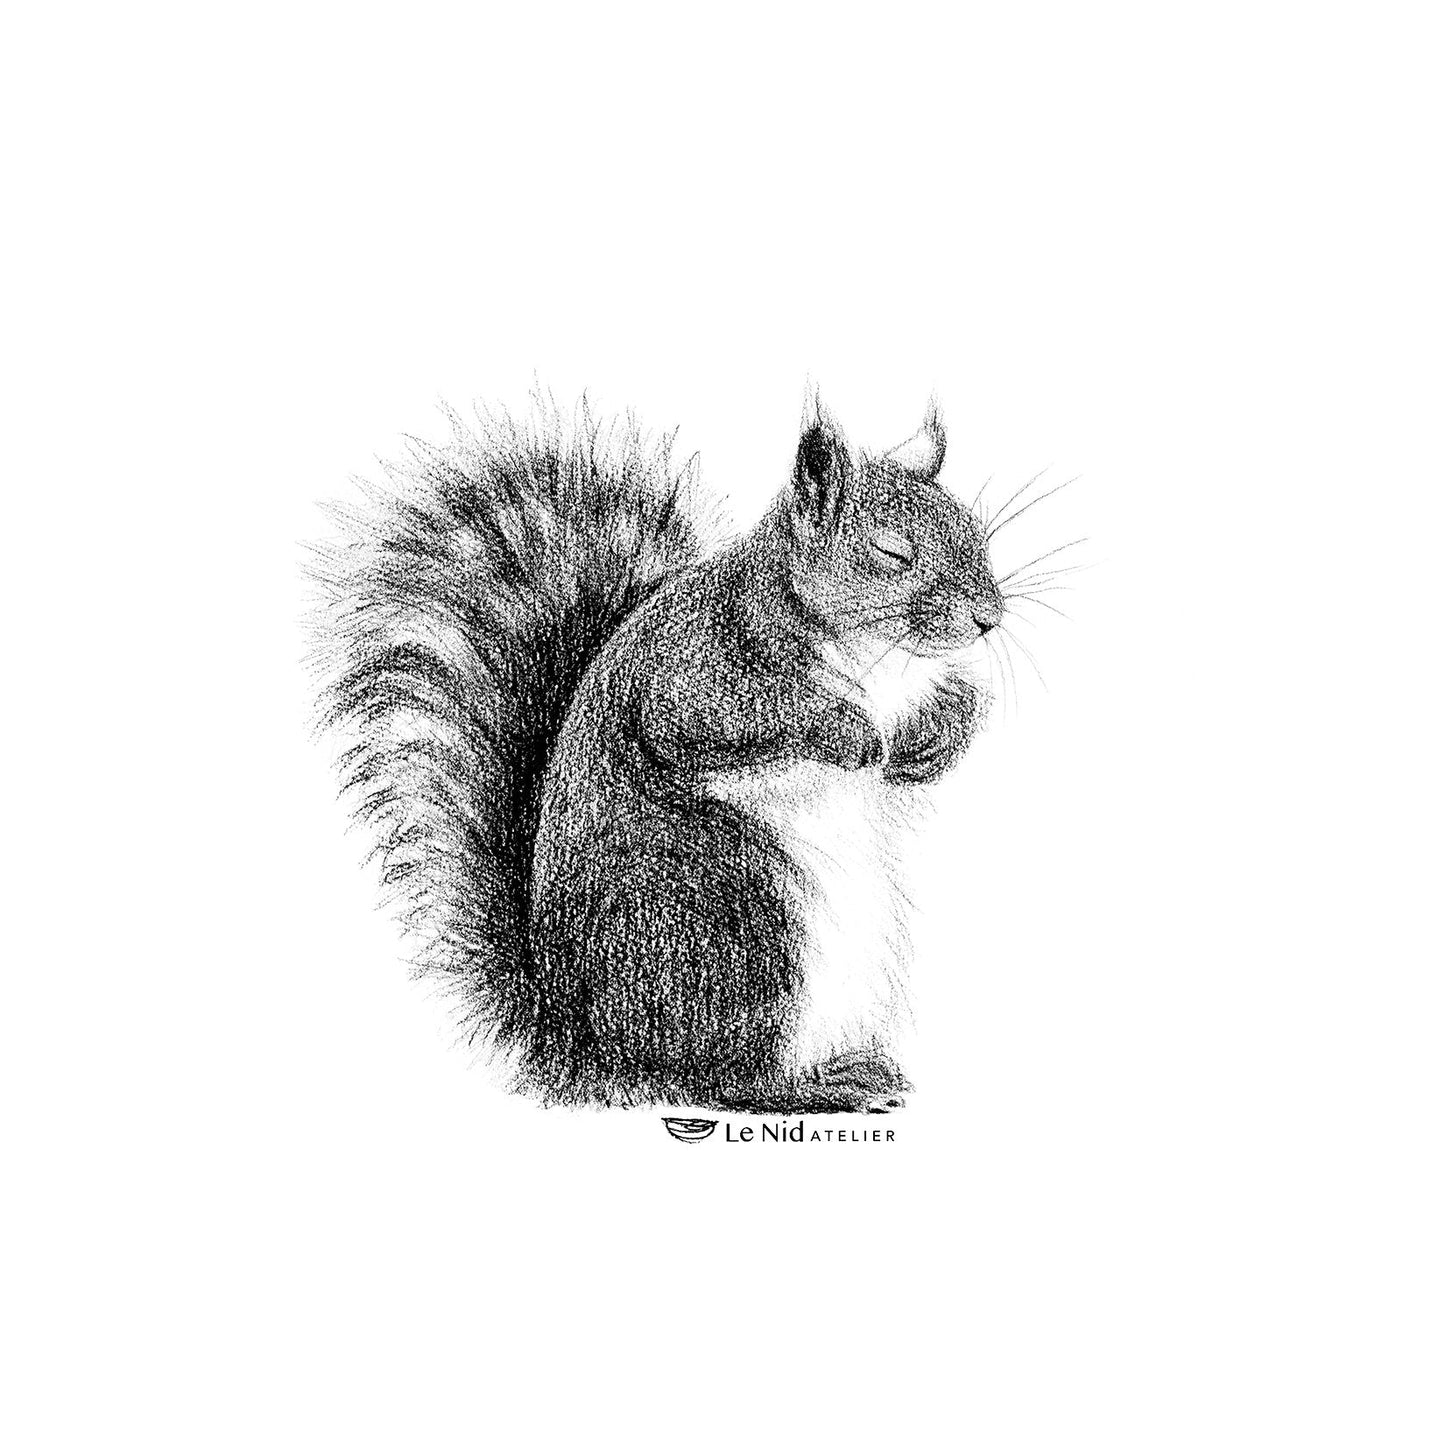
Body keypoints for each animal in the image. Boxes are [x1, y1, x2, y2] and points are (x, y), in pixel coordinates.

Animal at [312, 394, 1004, 1113]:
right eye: (892, 553)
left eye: (976, 535)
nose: (990, 617)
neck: (880, 658)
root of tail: (584, 1043)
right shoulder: (694, 669)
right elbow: (724, 716)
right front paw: (849, 732)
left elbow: (958, 700)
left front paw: (933, 743)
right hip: (724, 924)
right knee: (716, 1075)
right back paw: (817, 1085)